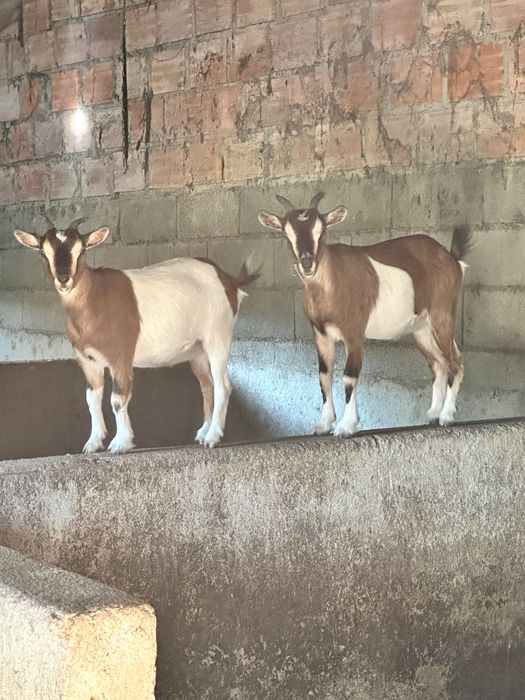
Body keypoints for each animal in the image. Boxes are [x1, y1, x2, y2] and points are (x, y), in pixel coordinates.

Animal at [15, 219, 258, 452]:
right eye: (43, 252)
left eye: (81, 250)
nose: (64, 278)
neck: (95, 298)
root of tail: (228, 280)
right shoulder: (87, 360)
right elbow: (91, 399)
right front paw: (93, 442)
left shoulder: (121, 355)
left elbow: (117, 399)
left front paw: (120, 443)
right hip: (197, 351)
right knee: (207, 386)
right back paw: (203, 432)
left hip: (218, 337)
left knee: (222, 386)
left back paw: (212, 437)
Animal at [258, 192, 471, 437]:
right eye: (286, 234)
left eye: (322, 230)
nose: (307, 262)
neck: (332, 281)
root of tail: (452, 259)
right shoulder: (320, 335)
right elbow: (324, 376)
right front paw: (323, 424)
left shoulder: (354, 333)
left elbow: (349, 377)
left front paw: (346, 426)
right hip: (421, 328)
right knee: (439, 364)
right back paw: (433, 414)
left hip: (442, 314)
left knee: (454, 362)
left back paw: (446, 416)